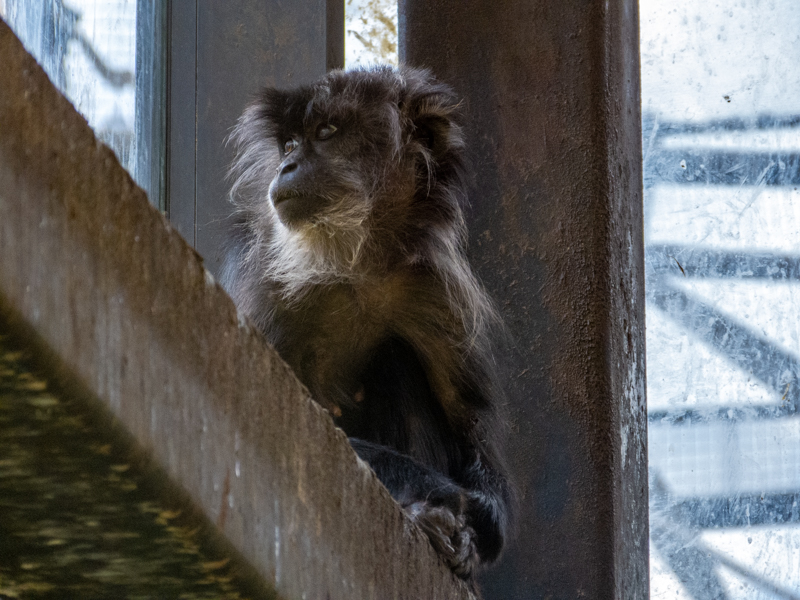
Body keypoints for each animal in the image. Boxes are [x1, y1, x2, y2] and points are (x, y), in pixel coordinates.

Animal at [221, 65, 512, 581]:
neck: (355, 269)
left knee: (396, 356)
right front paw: (442, 493)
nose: (286, 167)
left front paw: (484, 518)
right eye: (290, 143)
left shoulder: (433, 291)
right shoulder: (263, 281)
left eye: (325, 133)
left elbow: (469, 421)